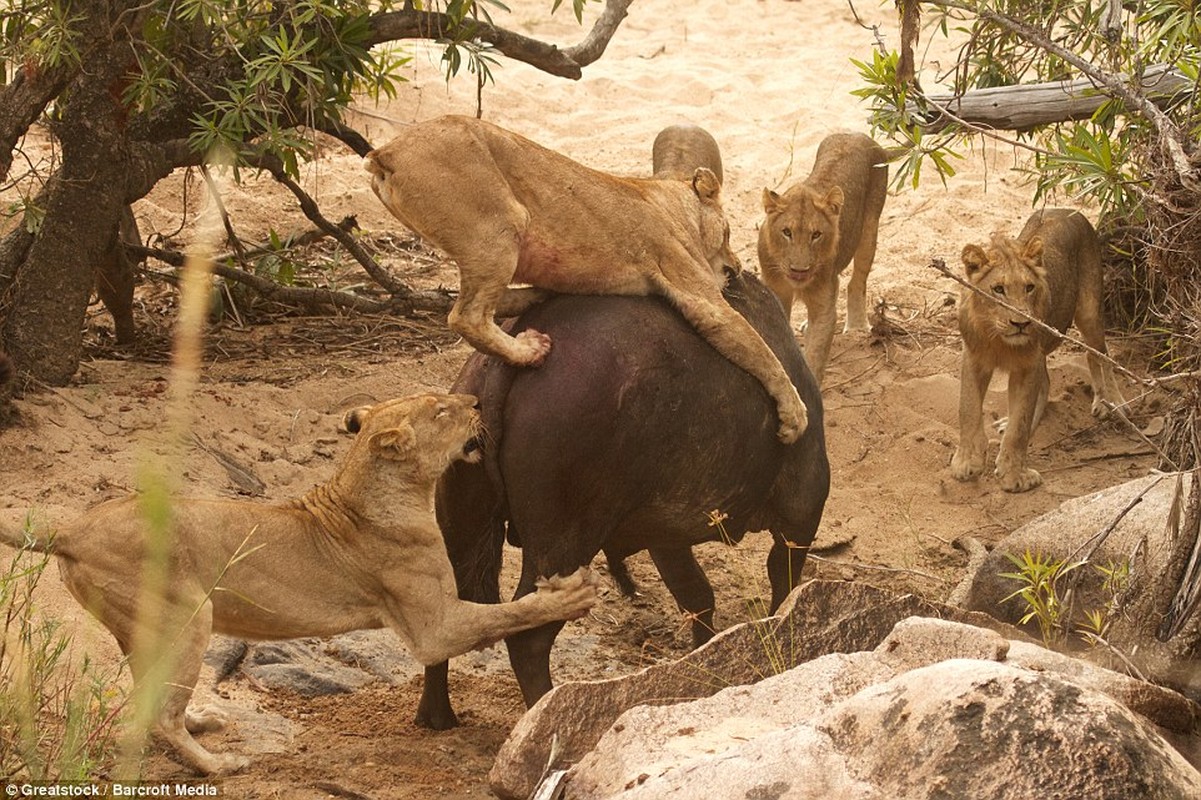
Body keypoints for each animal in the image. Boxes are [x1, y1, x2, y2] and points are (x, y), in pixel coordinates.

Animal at [0, 391, 600, 773]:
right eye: (443, 410)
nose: (476, 403)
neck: (379, 487)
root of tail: (70, 527)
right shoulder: (436, 627)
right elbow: (510, 612)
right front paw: (571, 592)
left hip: (143, 627)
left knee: (151, 698)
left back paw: (203, 722)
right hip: (187, 615)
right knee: (162, 715)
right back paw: (218, 764)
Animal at [420, 271, 826, 725]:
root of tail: (507, 363)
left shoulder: (667, 538)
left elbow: (698, 597)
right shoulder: (800, 520)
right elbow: (780, 589)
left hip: (464, 521)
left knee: (443, 618)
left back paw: (437, 715)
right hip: (565, 546)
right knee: (529, 639)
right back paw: (542, 709)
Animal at [759, 132, 893, 381]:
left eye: (816, 235)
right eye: (787, 232)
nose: (799, 270)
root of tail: (859, 134)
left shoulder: (824, 306)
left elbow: (815, 353)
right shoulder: (776, 291)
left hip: (870, 229)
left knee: (857, 281)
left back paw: (857, 326)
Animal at [946, 209, 1124, 490]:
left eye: (1029, 287)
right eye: (998, 289)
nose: (1021, 323)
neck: (998, 338)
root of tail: (1068, 210)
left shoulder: (1027, 365)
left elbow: (1020, 425)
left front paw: (1014, 476)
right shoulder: (973, 358)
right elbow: (968, 408)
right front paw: (966, 462)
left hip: (1089, 311)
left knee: (1100, 354)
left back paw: (1111, 402)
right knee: (1051, 380)